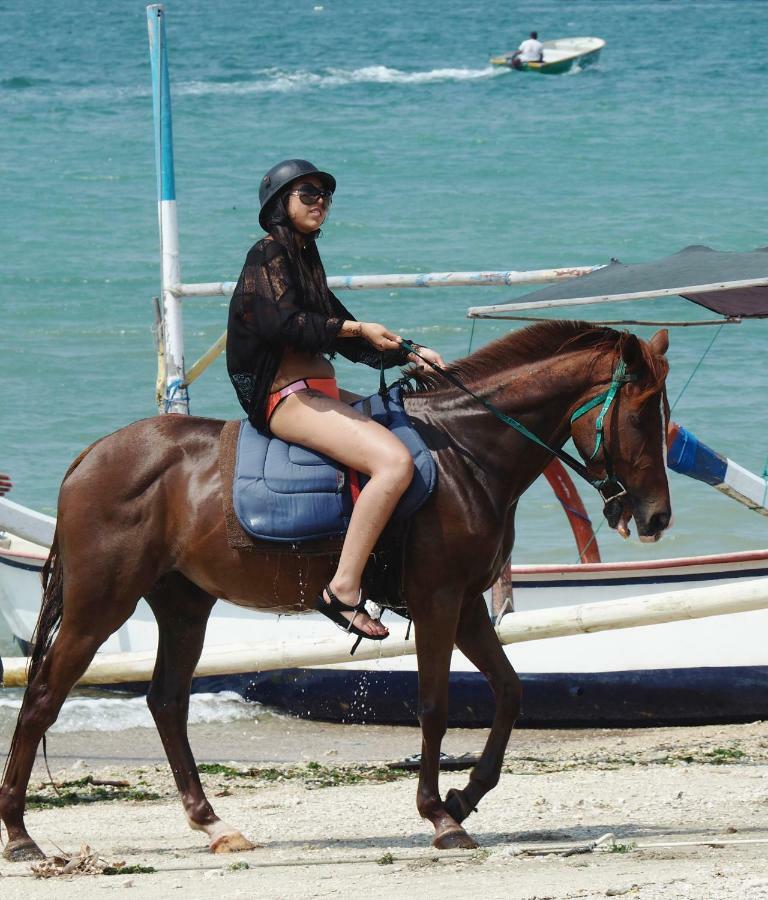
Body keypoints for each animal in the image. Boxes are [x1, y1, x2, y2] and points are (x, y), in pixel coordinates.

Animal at [0, 324, 668, 856]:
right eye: (642, 415)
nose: (657, 516)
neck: (465, 454)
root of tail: (91, 456)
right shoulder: (438, 601)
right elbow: (435, 704)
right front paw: (439, 815)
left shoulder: (468, 606)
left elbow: (509, 692)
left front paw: (464, 796)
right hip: (100, 606)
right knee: (43, 699)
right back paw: (21, 833)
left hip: (184, 607)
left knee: (166, 702)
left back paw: (213, 823)